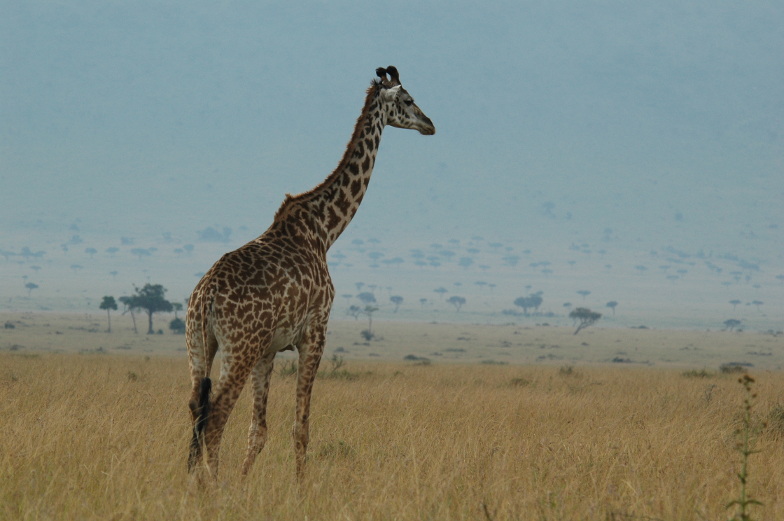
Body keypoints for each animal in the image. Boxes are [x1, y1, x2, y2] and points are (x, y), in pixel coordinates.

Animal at [186, 66, 435, 480]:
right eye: (409, 99)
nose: (430, 124)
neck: (325, 230)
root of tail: (205, 297)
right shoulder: (314, 333)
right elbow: (300, 428)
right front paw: (301, 488)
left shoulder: (269, 350)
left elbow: (258, 430)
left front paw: (243, 484)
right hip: (238, 348)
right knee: (216, 415)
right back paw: (211, 486)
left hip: (199, 344)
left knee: (195, 407)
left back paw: (193, 482)